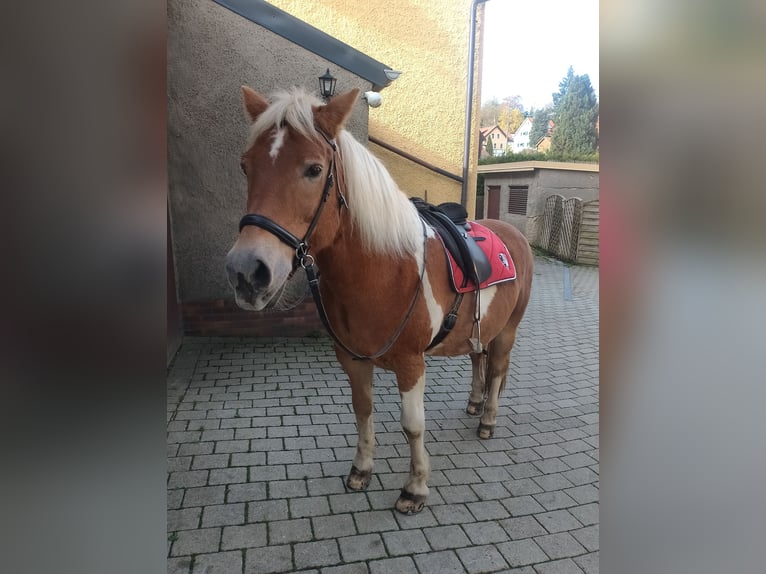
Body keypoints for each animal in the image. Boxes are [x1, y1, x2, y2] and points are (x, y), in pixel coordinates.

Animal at [225, 86, 532, 516]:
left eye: (314, 169)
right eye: (245, 166)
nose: (247, 272)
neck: (383, 270)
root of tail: (512, 233)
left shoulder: (411, 364)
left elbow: (412, 425)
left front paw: (415, 488)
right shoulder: (352, 360)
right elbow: (363, 411)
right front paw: (362, 469)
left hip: (508, 331)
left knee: (499, 369)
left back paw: (487, 420)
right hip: (480, 329)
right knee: (477, 360)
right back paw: (474, 403)